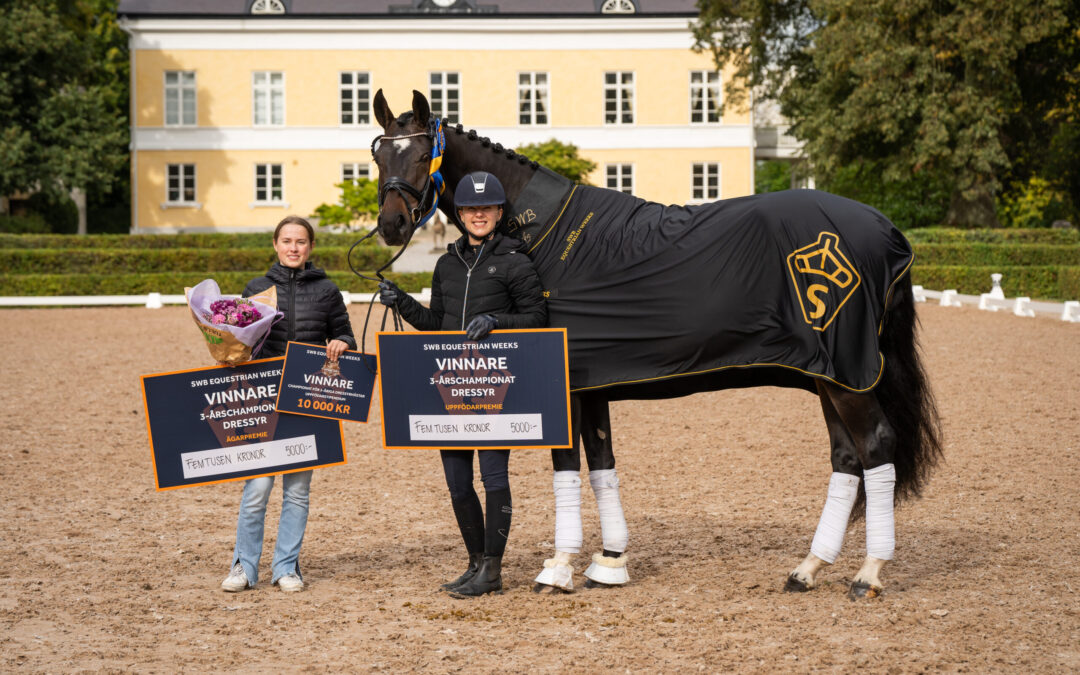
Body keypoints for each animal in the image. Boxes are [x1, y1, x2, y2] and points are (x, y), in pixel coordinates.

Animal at [373, 88, 946, 596]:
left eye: (422, 154)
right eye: (378, 154)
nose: (391, 223)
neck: (544, 235)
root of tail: (886, 230)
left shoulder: (568, 390)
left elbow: (568, 466)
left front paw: (558, 567)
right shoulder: (592, 386)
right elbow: (602, 465)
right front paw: (610, 562)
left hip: (849, 376)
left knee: (876, 446)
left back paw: (868, 573)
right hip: (829, 373)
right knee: (847, 458)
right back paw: (808, 569)